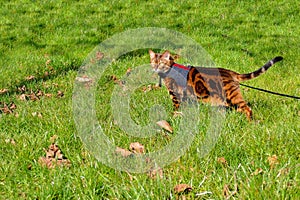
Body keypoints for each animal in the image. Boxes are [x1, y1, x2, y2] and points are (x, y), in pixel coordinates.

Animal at [150, 49, 284, 120]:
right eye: (153, 62)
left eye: (160, 63)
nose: (155, 68)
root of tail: (231, 72)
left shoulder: (175, 94)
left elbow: (175, 107)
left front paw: (173, 116)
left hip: (232, 95)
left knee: (247, 109)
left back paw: (251, 122)